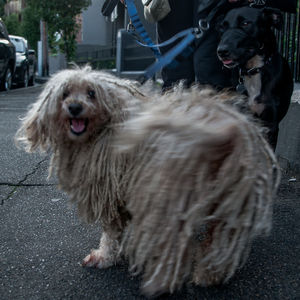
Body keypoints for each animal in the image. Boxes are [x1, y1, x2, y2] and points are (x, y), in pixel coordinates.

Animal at [15, 65, 278, 296]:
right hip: (232, 206)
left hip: (169, 199)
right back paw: (208, 274)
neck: (108, 126)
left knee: (174, 248)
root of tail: (228, 133)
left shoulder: (111, 194)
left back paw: (160, 282)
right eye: (65, 93)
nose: (75, 107)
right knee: (219, 243)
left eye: (91, 93)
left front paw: (104, 256)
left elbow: (110, 233)